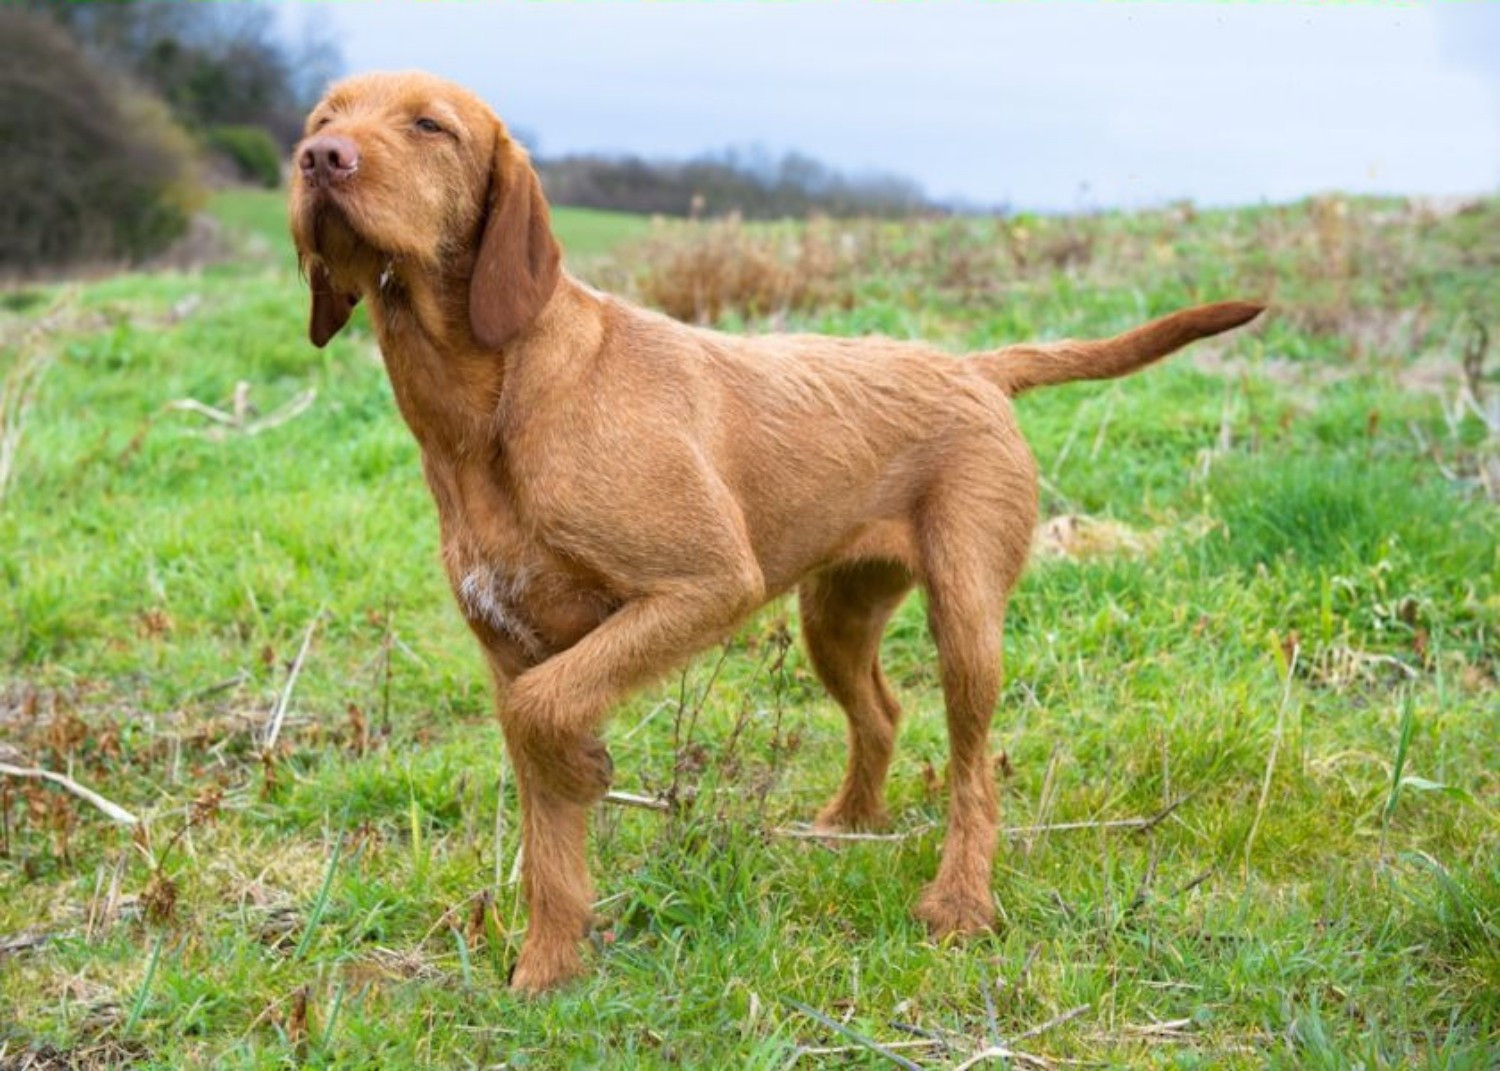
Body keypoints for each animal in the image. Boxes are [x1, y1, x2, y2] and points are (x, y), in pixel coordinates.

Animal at [286, 70, 1260, 990]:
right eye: (321, 118)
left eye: (430, 125)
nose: (321, 158)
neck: (495, 405)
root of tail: (977, 366)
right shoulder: (510, 643)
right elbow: (546, 812)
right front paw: (549, 969)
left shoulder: (706, 582)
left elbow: (545, 713)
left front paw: (585, 777)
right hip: (835, 615)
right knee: (882, 712)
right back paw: (851, 824)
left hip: (965, 618)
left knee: (974, 767)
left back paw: (959, 903)